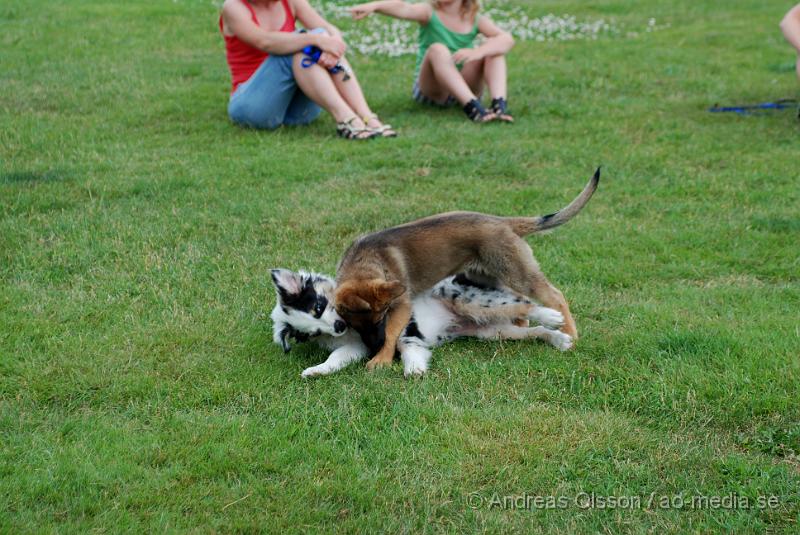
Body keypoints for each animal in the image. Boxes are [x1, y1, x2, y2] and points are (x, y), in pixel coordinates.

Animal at [272, 268, 572, 376]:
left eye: (319, 306)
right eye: (311, 332)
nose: (338, 327)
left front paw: (413, 369)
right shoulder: (358, 347)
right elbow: (337, 358)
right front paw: (317, 371)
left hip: (469, 299)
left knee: (527, 304)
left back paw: (553, 316)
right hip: (492, 329)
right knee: (535, 330)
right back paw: (559, 339)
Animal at [332, 170, 600, 370]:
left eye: (380, 319)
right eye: (354, 325)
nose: (372, 349)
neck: (366, 262)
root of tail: (503, 222)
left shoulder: (402, 305)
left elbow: (391, 333)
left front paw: (381, 359)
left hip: (517, 271)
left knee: (554, 295)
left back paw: (569, 332)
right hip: (491, 277)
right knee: (518, 302)